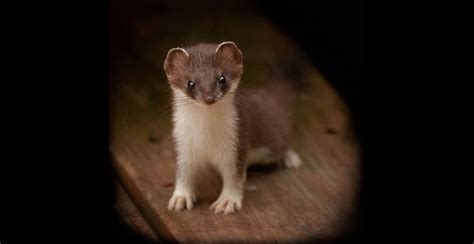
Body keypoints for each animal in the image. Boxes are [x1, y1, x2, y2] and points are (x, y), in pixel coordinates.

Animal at [163, 41, 302, 214]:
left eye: (222, 78)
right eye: (190, 83)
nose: (209, 98)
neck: (206, 133)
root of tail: (269, 95)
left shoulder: (237, 142)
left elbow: (234, 177)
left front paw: (227, 201)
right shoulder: (182, 143)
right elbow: (183, 172)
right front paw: (180, 198)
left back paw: (291, 159)